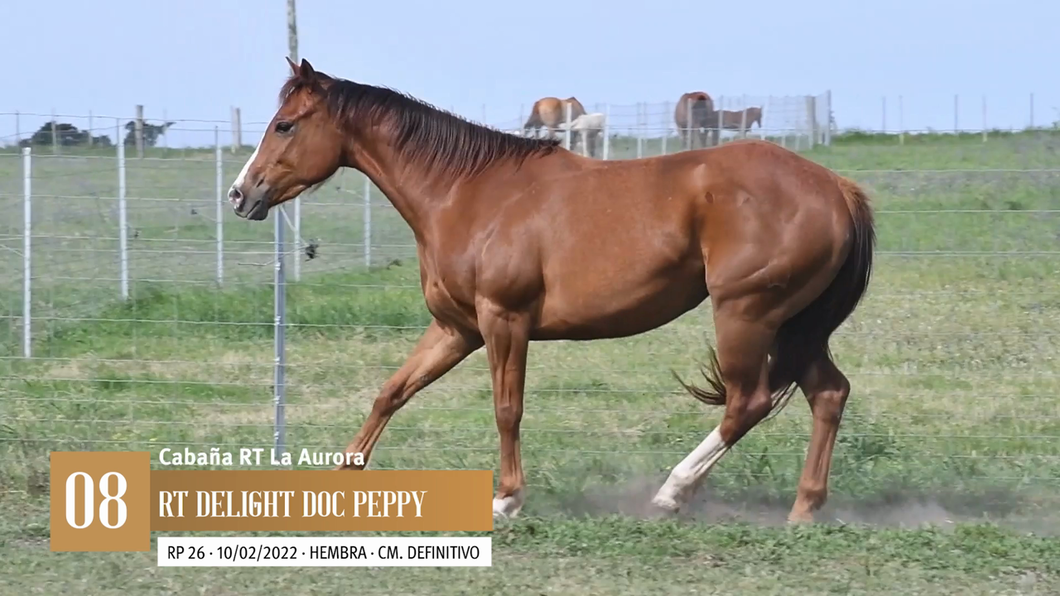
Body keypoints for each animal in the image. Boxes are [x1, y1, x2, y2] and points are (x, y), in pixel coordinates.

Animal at [230, 59, 877, 523]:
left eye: (285, 125)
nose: (241, 193)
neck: (467, 193)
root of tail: (836, 187)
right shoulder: (456, 329)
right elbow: (391, 393)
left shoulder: (504, 321)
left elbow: (507, 408)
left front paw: (507, 499)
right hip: (795, 325)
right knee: (829, 393)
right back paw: (803, 509)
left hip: (747, 314)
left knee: (748, 403)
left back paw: (672, 493)